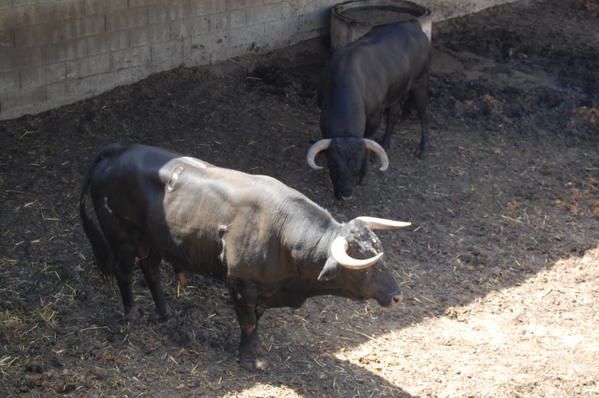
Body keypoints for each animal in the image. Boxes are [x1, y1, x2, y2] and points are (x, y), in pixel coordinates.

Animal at [78, 143, 412, 370]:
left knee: (151, 271)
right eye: (365, 266)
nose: (397, 296)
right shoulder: (240, 283)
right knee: (125, 272)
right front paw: (249, 360)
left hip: (154, 241)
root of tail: (116, 151)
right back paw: (132, 314)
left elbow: (256, 322)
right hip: (121, 237)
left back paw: (165, 313)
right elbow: (248, 323)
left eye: (379, 254)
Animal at [310, 19, 432, 199]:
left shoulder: (375, 115)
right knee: (394, 115)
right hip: (396, 91)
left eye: (357, 165)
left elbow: (368, 139)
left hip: (420, 82)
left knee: (423, 114)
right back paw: (385, 143)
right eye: (334, 165)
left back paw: (423, 148)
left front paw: (364, 175)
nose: (346, 194)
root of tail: (413, 23)